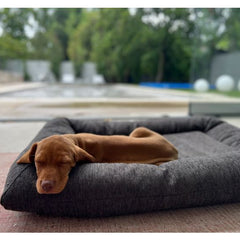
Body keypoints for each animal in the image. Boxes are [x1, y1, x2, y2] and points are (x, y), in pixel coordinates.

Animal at [17, 126, 178, 194]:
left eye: (64, 162)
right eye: (39, 162)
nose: (46, 186)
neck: (75, 140)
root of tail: (173, 148)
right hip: (139, 130)